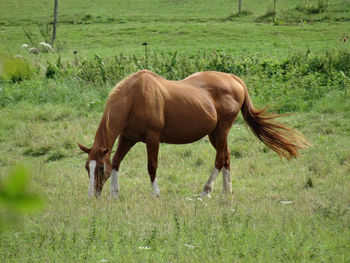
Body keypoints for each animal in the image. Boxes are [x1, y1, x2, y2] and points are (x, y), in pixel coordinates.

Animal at [78, 70, 308, 198]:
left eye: (99, 169)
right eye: (87, 168)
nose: (91, 196)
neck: (135, 98)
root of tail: (234, 79)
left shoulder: (152, 139)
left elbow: (152, 167)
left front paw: (156, 193)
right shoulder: (128, 138)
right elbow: (116, 162)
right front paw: (114, 195)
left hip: (222, 130)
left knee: (219, 159)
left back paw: (206, 190)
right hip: (214, 134)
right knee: (226, 157)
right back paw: (226, 191)